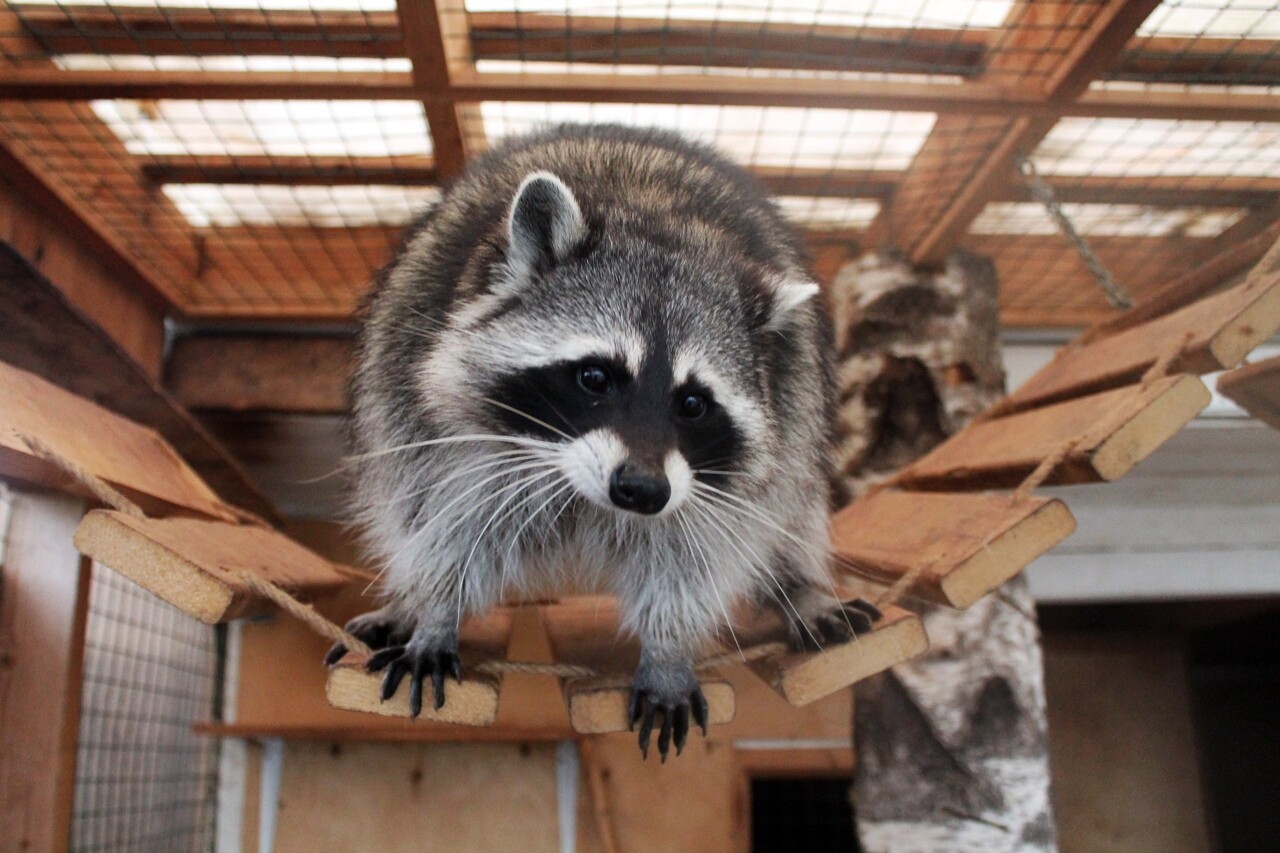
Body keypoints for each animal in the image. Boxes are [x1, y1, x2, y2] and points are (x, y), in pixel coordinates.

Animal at [330, 122, 880, 753]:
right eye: (595, 377)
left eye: (693, 404)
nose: (641, 490)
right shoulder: (427, 416)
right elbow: (446, 522)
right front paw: (436, 611)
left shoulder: (742, 458)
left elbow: (697, 553)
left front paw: (668, 648)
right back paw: (406, 604)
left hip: (799, 408)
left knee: (790, 512)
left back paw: (801, 587)